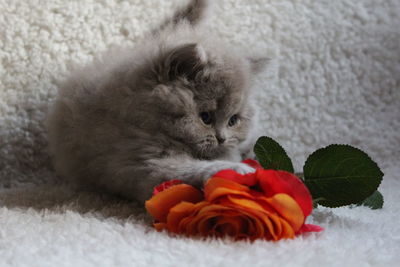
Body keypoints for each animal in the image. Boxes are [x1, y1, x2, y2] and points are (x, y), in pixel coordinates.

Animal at [46, 0, 266, 204]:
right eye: (205, 117)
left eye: (233, 120)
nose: (221, 138)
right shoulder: (140, 162)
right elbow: (186, 170)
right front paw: (239, 169)